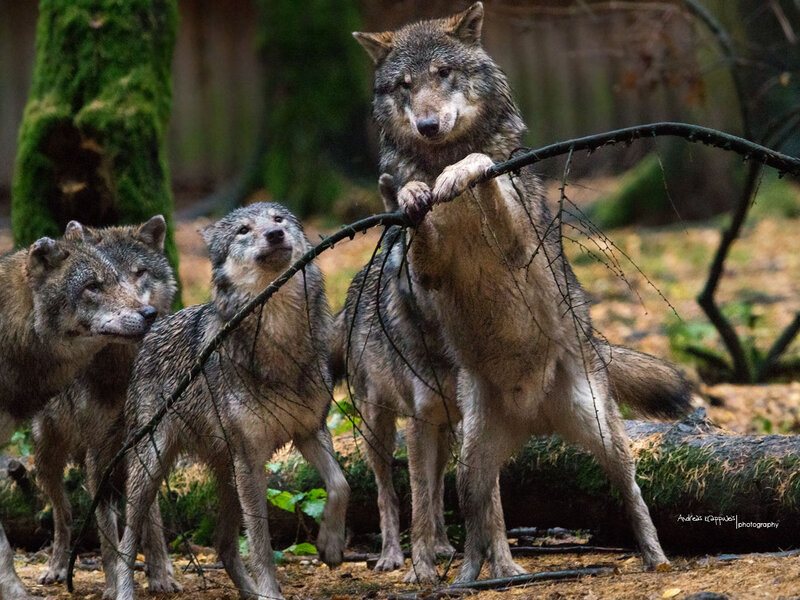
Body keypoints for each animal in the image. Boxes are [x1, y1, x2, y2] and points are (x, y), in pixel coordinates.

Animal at [0, 228, 167, 600]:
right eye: (92, 286)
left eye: (124, 278)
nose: (150, 313)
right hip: (47, 461)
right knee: (64, 515)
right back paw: (58, 568)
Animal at [113, 203, 349, 600]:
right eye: (243, 230)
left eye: (278, 220)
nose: (275, 235)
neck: (279, 344)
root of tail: (156, 325)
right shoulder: (251, 460)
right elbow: (261, 542)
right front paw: (271, 592)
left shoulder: (310, 431)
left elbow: (339, 484)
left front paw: (331, 546)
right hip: (151, 470)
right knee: (126, 543)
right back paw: (123, 591)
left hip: (227, 476)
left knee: (223, 544)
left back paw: (248, 592)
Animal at [331, 174, 459, 583]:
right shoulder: (418, 424)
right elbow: (416, 500)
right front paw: (420, 569)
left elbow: (438, 492)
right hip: (377, 427)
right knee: (385, 492)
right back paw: (390, 555)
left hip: (445, 430)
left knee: (437, 484)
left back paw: (442, 545)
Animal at [354, 2, 691, 582]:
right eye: (404, 85)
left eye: (444, 73)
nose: (427, 124)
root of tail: (534, 416)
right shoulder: (430, 275)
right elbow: (418, 216)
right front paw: (415, 191)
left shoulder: (517, 245)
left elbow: (484, 171)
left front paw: (463, 171)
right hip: (466, 456)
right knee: (467, 516)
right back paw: (465, 579)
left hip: (606, 438)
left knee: (633, 497)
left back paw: (655, 559)